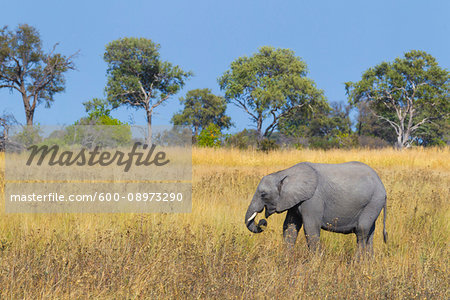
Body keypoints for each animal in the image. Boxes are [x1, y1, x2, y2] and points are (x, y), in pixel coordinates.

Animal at [244, 161, 388, 254]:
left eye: (263, 194)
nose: (262, 222)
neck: (285, 173)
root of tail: (381, 185)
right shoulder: (295, 201)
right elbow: (289, 226)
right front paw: (286, 259)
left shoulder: (313, 200)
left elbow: (311, 227)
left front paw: (314, 262)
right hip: (374, 204)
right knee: (370, 232)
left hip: (373, 202)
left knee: (361, 231)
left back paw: (356, 263)